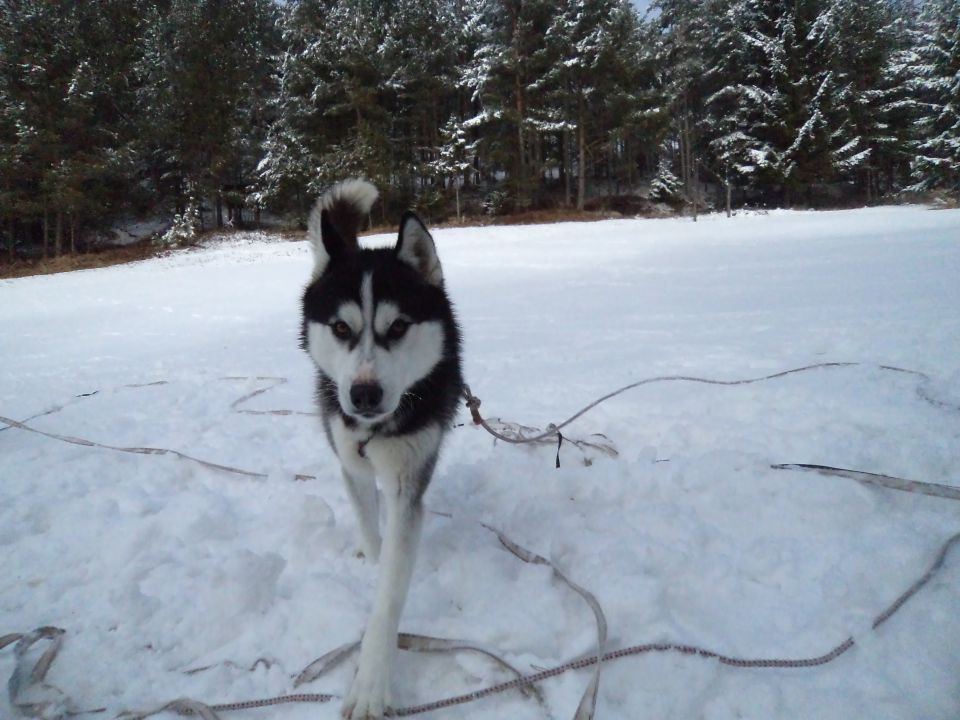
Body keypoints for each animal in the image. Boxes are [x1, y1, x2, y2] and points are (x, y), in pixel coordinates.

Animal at [302, 180, 464, 720]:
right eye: (340, 328)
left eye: (397, 327)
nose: (364, 395)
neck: (376, 428)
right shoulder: (350, 461)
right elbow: (374, 538)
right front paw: (370, 558)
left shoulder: (407, 476)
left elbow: (391, 587)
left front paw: (371, 683)